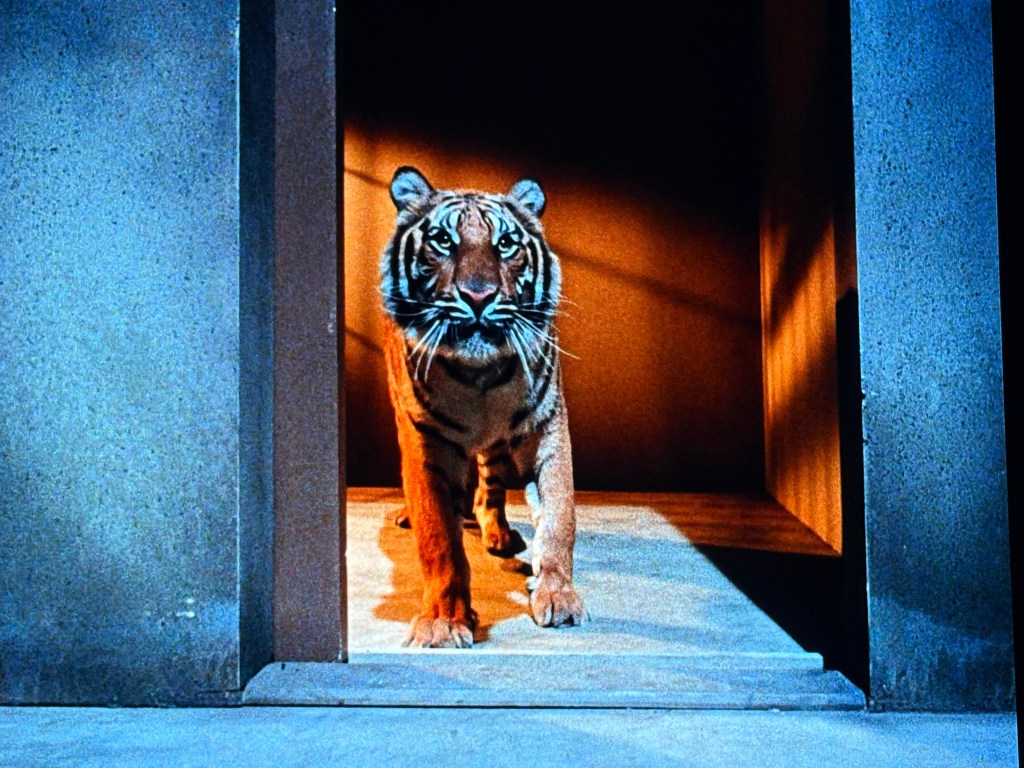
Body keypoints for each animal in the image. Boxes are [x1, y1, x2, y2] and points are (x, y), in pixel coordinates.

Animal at [379, 165, 587, 649]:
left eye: (506, 243)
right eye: (442, 240)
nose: (478, 296)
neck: (480, 381)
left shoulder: (548, 429)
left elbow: (559, 518)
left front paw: (557, 595)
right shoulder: (426, 445)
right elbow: (438, 539)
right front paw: (443, 621)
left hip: (496, 450)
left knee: (489, 488)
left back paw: (499, 534)